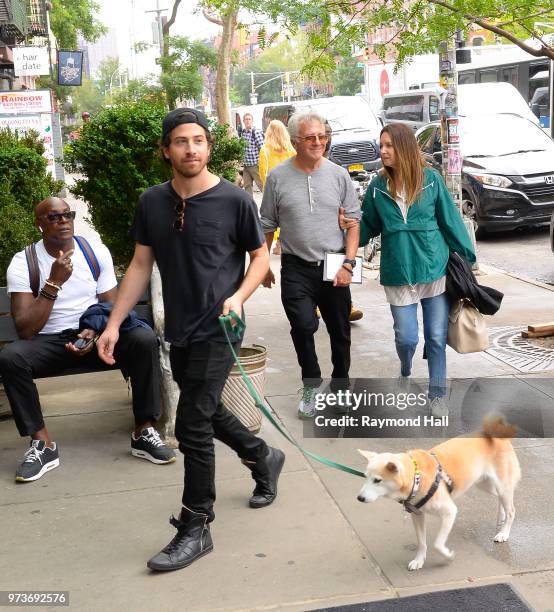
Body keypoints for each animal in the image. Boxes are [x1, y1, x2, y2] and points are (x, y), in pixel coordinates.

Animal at [356, 418, 520, 572]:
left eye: (377, 480)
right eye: (365, 477)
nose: (359, 498)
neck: (416, 477)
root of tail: (501, 435)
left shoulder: (450, 512)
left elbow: (437, 544)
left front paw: (448, 557)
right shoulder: (417, 515)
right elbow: (421, 542)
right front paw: (419, 560)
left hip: (501, 486)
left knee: (512, 509)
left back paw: (504, 532)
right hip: (485, 484)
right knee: (501, 499)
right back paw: (502, 516)